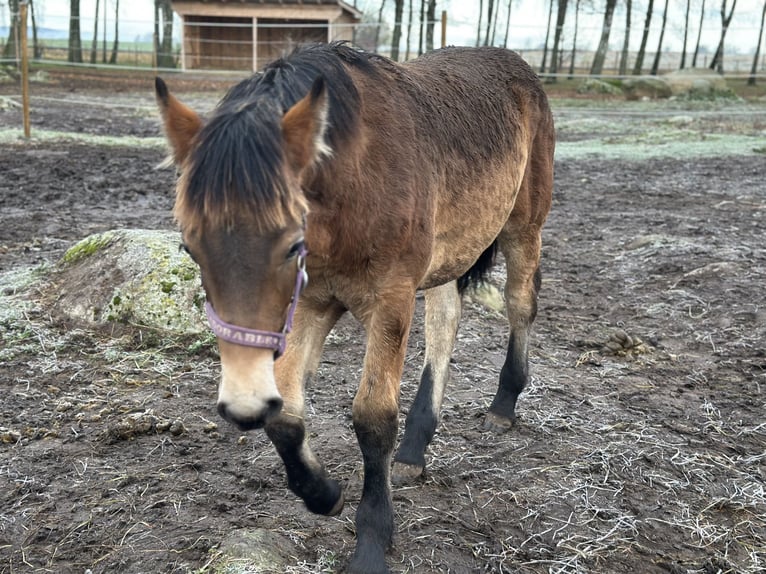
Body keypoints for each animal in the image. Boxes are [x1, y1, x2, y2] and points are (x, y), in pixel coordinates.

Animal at [156, 41, 552, 574]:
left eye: (291, 245)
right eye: (190, 247)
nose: (242, 402)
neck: (356, 183)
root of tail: (516, 65)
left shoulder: (390, 300)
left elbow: (372, 419)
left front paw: (371, 542)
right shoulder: (312, 304)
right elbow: (285, 414)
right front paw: (325, 494)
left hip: (523, 227)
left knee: (519, 305)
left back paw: (503, 405)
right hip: (447, 255)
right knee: (445, 322)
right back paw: (415, 448)